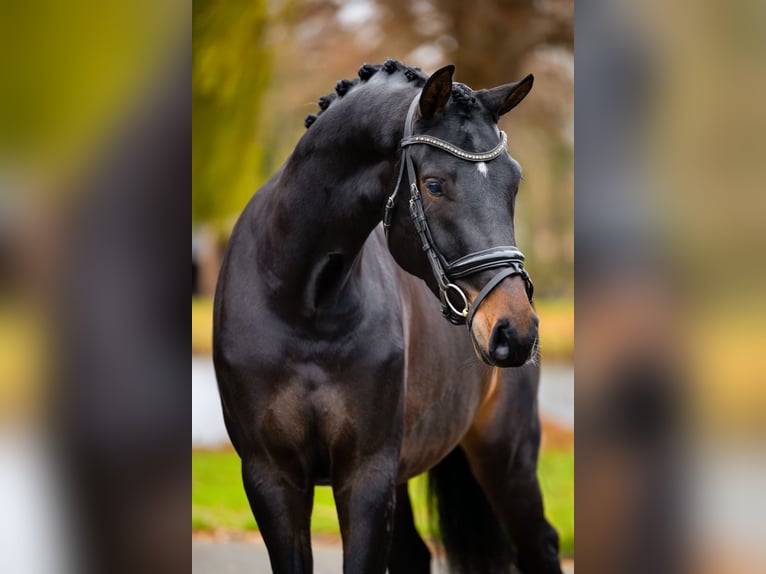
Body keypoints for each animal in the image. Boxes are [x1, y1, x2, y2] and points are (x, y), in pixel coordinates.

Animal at [213, 59, 562, 574]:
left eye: (513, 182)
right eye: (434, 185)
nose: (515, 331)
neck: (304, 306)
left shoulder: (367, 475)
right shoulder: (271, 477)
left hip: (507, 455)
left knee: (540, 544)